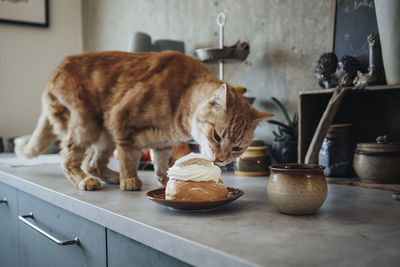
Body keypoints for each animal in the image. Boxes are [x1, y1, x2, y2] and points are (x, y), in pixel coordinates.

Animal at [15, 51, 272, 192]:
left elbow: (161, 162)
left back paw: (111, 177)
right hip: (86, 125)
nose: (220, 159)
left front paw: (165, 177)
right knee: (69, 158)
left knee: (92, 162)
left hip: (103, 136)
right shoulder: (123, 124)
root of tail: (53, 74)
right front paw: (130, 179)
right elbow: (130, 158)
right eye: (217, 136)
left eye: (237, 148)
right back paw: (88, 181)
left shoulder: (163, 143)